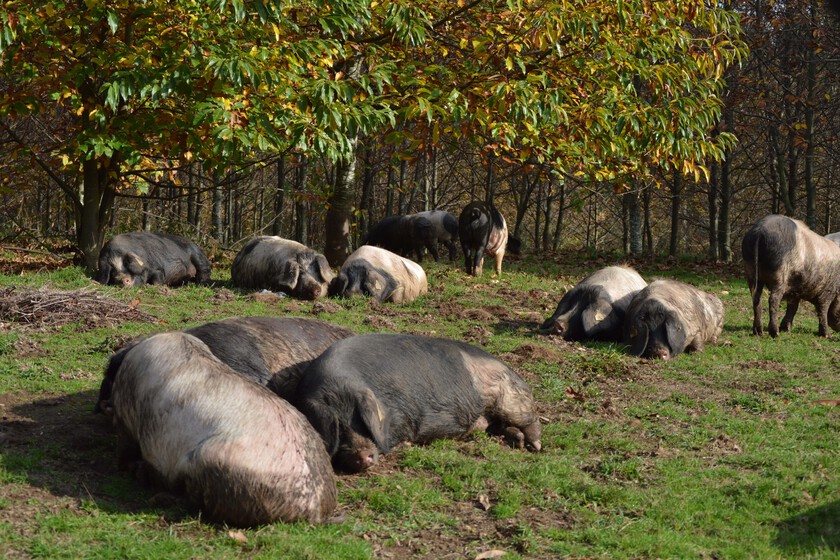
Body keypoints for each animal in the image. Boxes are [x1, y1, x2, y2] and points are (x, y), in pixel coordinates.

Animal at [294, 333, 542, 473]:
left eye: (360, 421)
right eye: (338, 427)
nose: (362, 456)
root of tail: (511, 369)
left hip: (510, 398)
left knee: (531, 419)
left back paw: (535, 446)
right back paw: (518, 441)